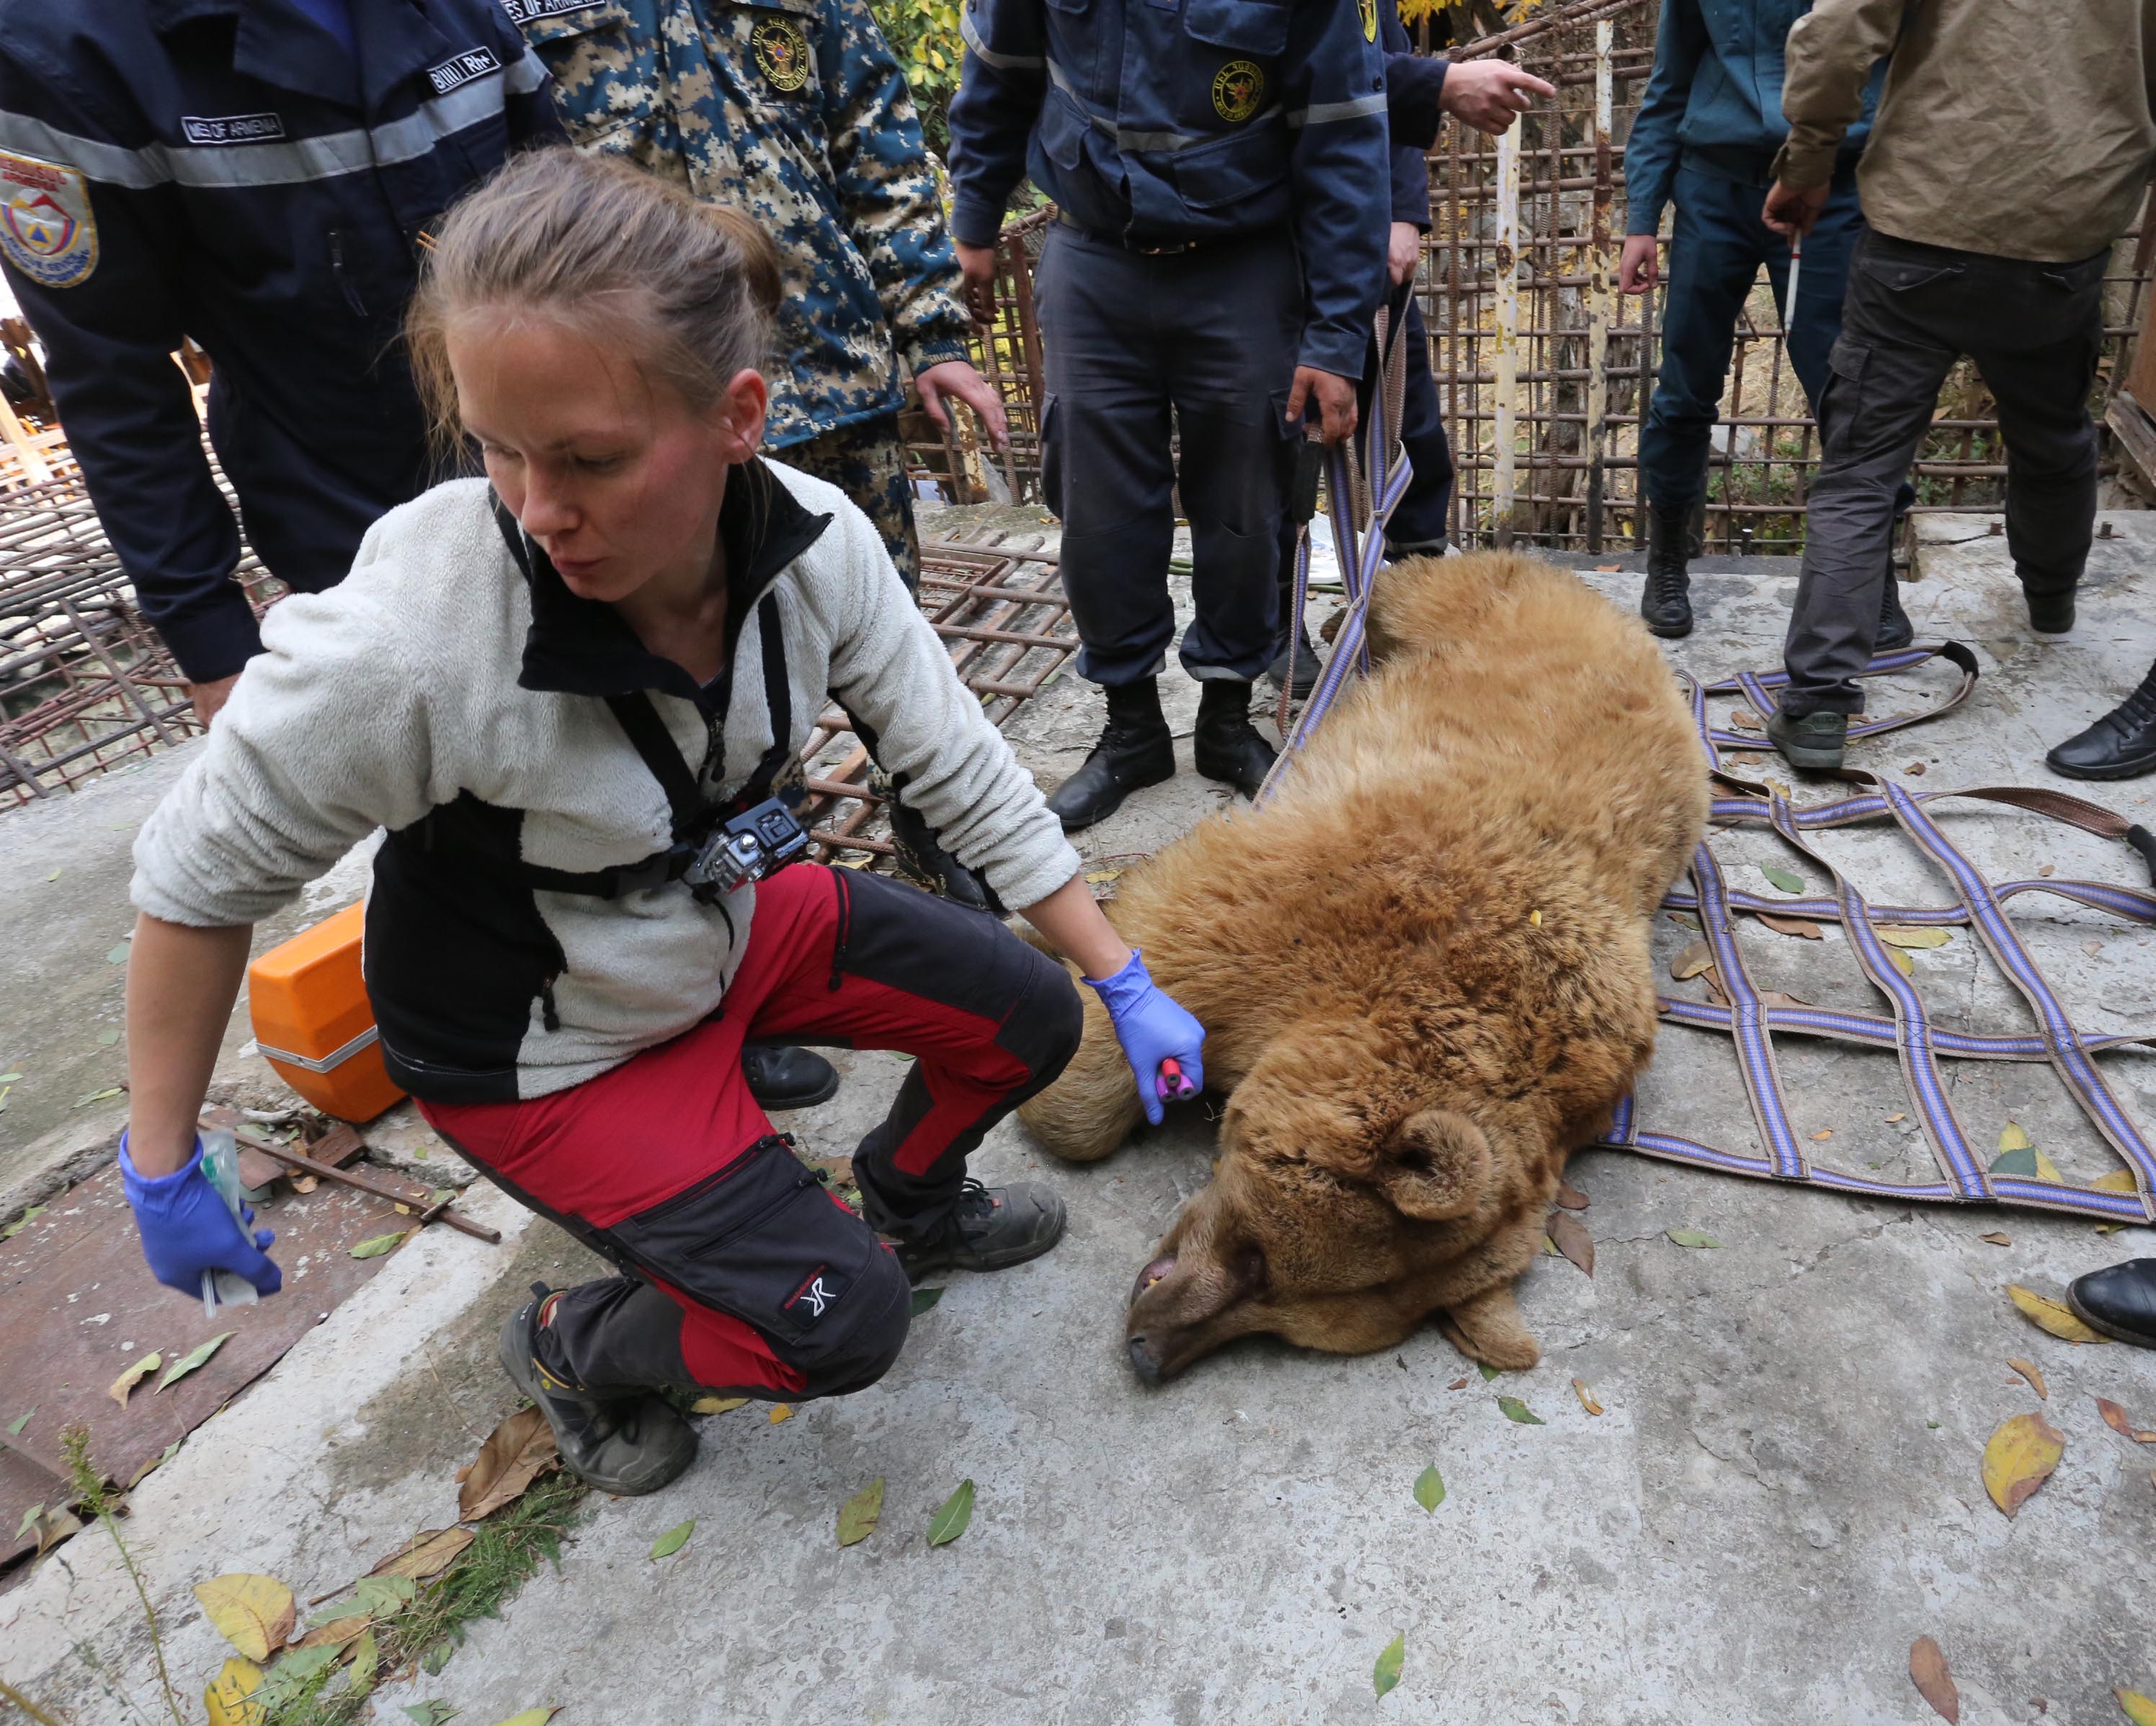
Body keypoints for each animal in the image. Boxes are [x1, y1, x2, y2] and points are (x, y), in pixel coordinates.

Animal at [1017, 552, 1707, 1389]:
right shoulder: (1313, 903)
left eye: (1280, 1316)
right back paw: (1331, 622)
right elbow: (1132, 993)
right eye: (1258, 1258)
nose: (1148, 1351)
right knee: (1401, 584)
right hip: (1465, 606)